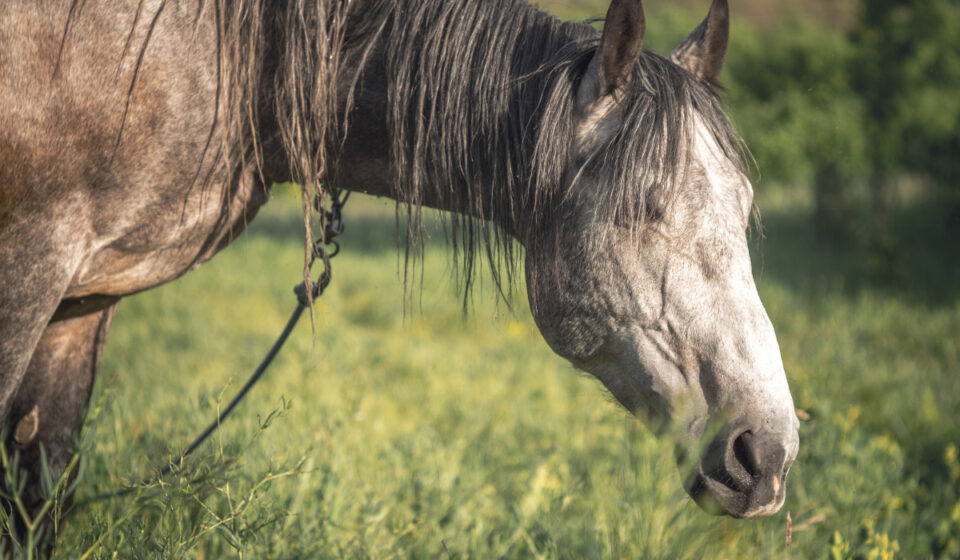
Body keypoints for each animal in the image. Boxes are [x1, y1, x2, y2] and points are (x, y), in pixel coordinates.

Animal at [0, 0, 799, 539]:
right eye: (642, 207)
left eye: (744, 205)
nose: (767, 454)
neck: (243, 55)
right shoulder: (30, 268)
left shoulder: (82, 303)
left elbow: (39, 487)